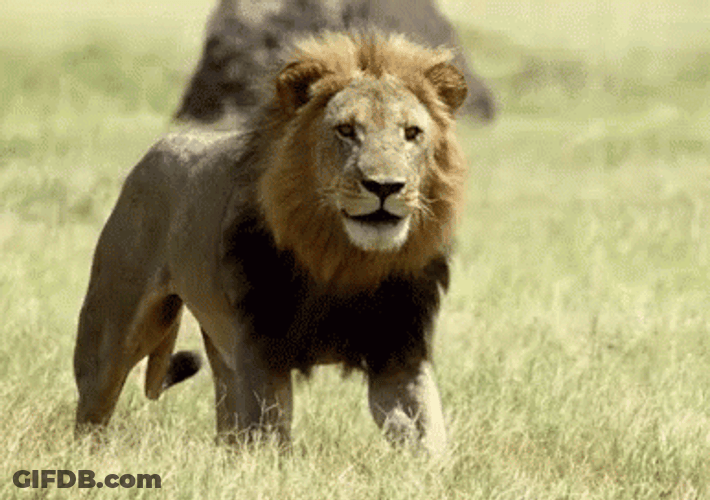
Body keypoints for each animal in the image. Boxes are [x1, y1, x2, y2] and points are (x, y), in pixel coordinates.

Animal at [74, 31, 468, 455]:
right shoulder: (261, 349)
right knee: (94, 403)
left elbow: (426, 433)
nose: (385, 186)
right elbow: (269, 433)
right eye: (346, 130)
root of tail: (162, 145)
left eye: (412, 133)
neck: (344, 259)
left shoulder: (399, 353)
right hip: (114, 330)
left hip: (222, 352)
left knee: (226, 417)